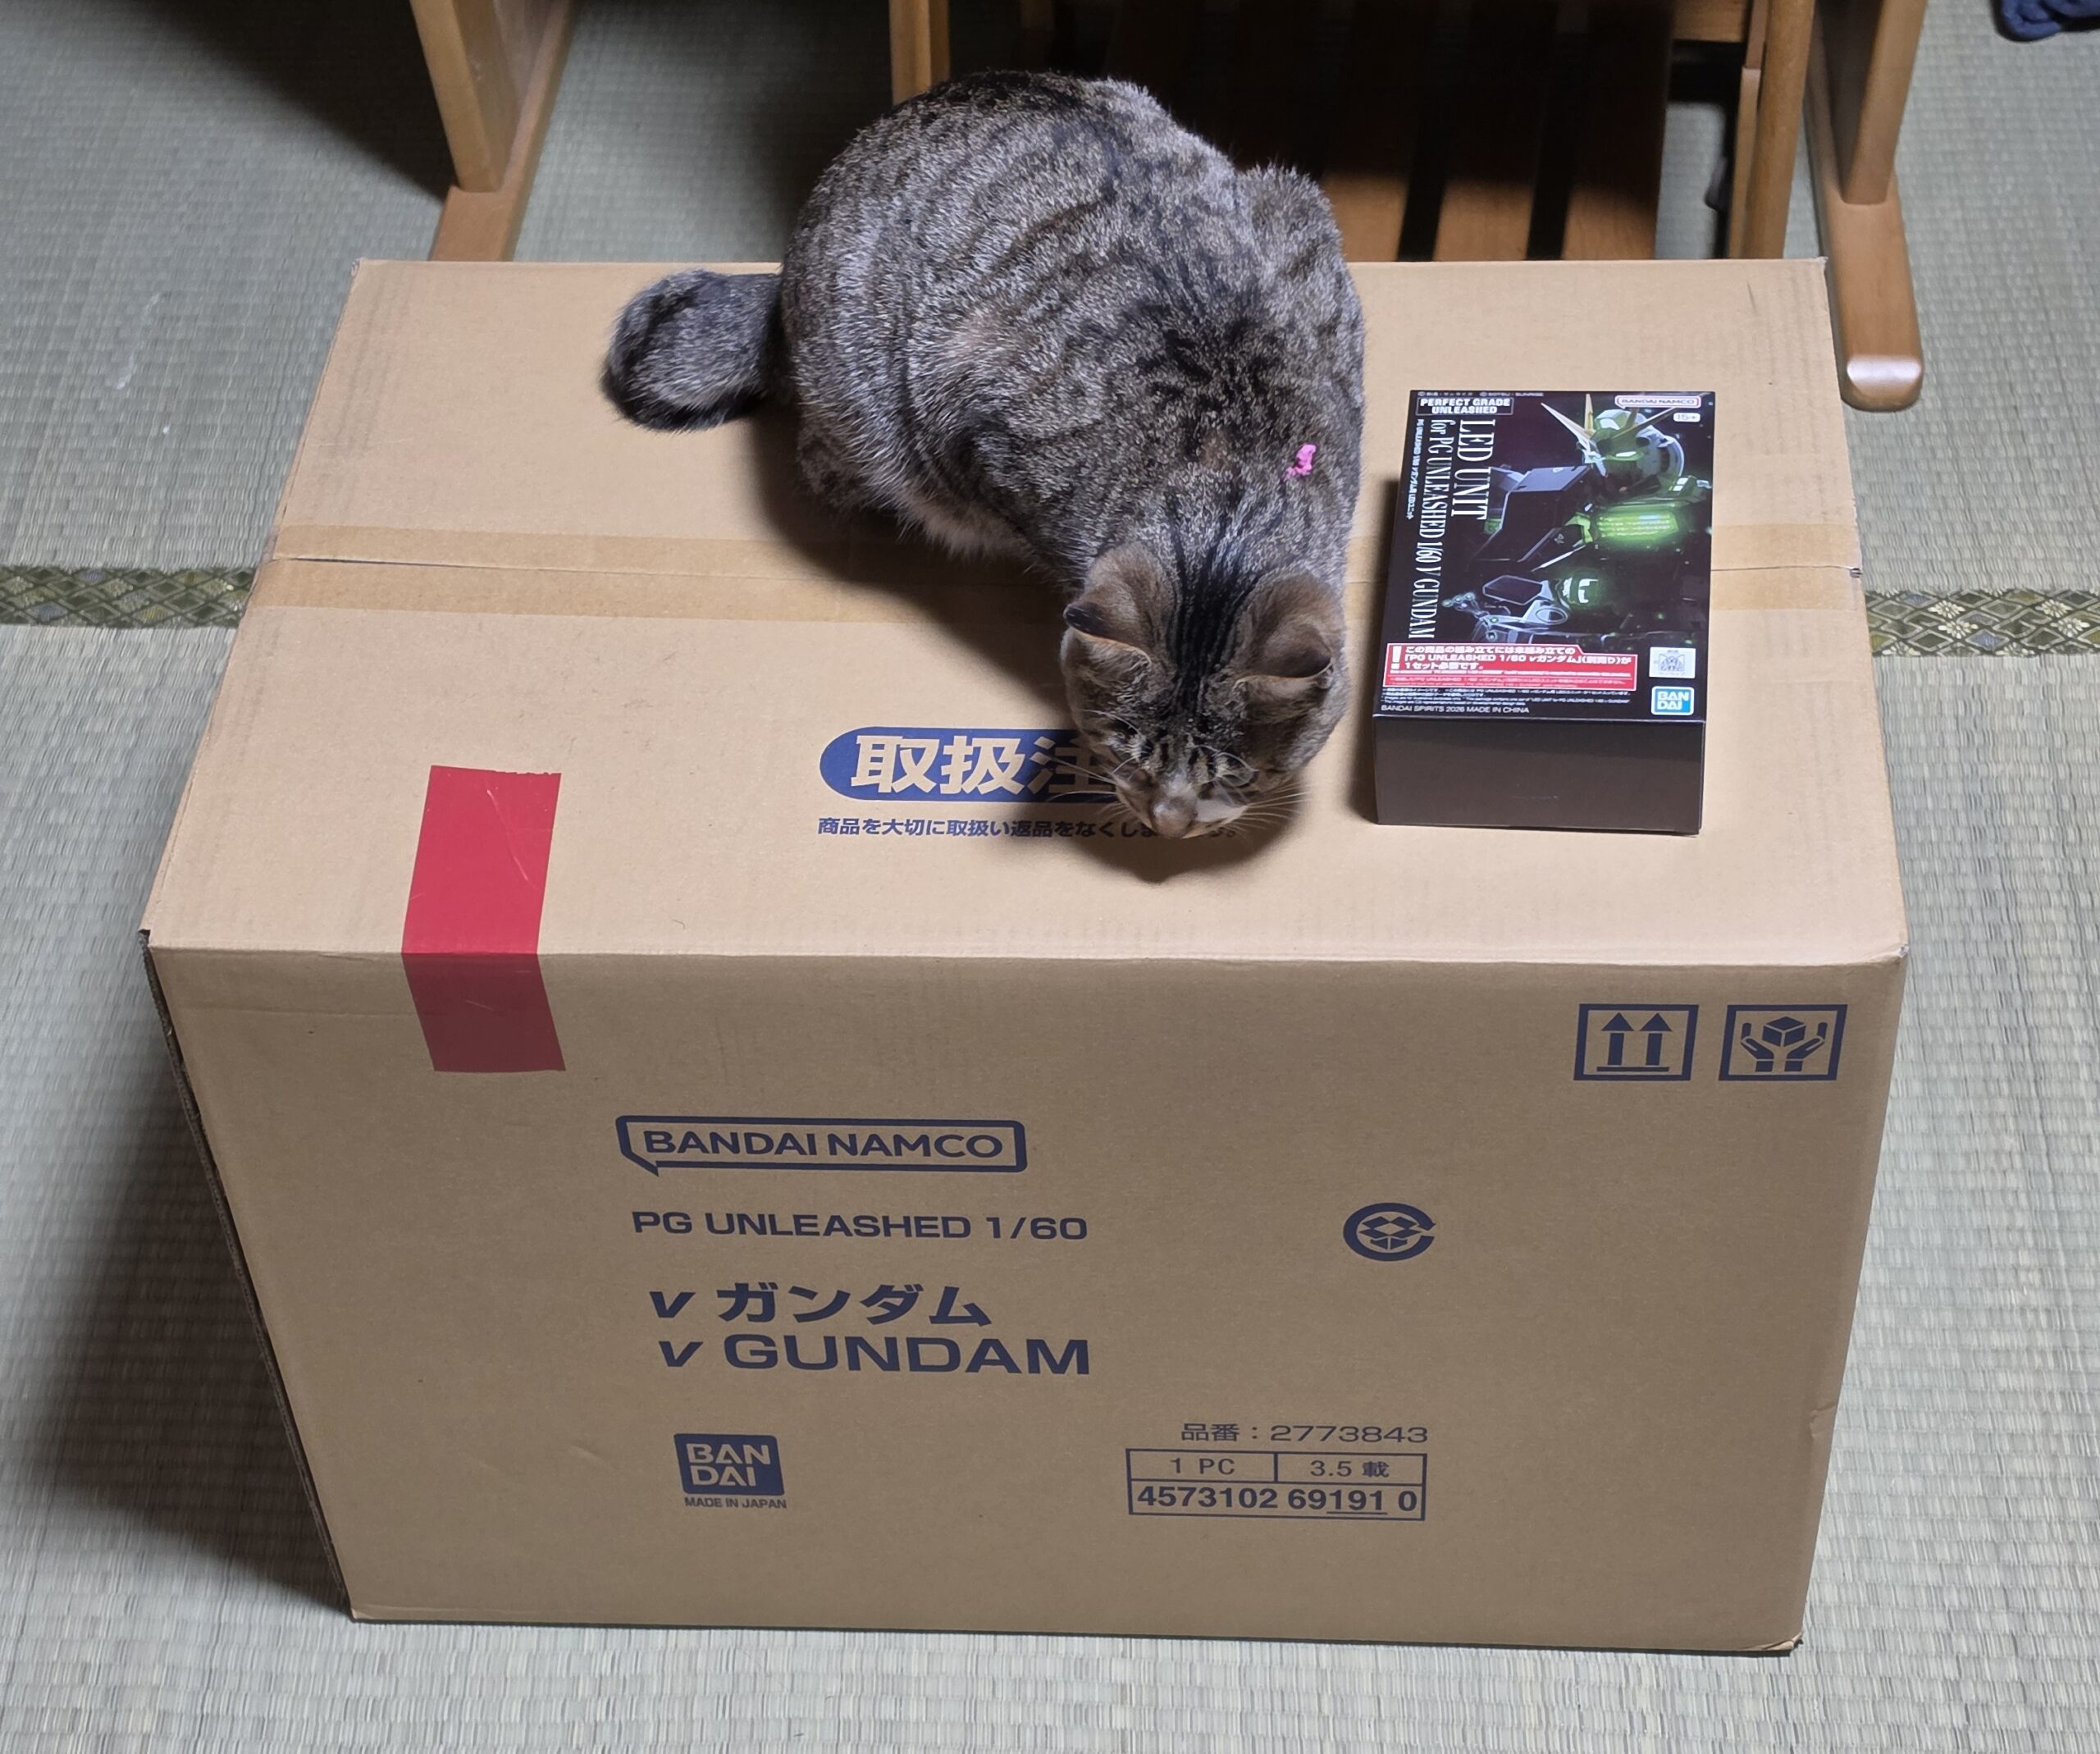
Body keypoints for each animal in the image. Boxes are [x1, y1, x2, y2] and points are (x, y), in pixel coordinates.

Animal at [606, 71, 1364, 839]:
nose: (1168, 822)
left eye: (1237, 773)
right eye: (1123, 751)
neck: (1226, 473)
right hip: (861, 410)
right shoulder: (973, 418)